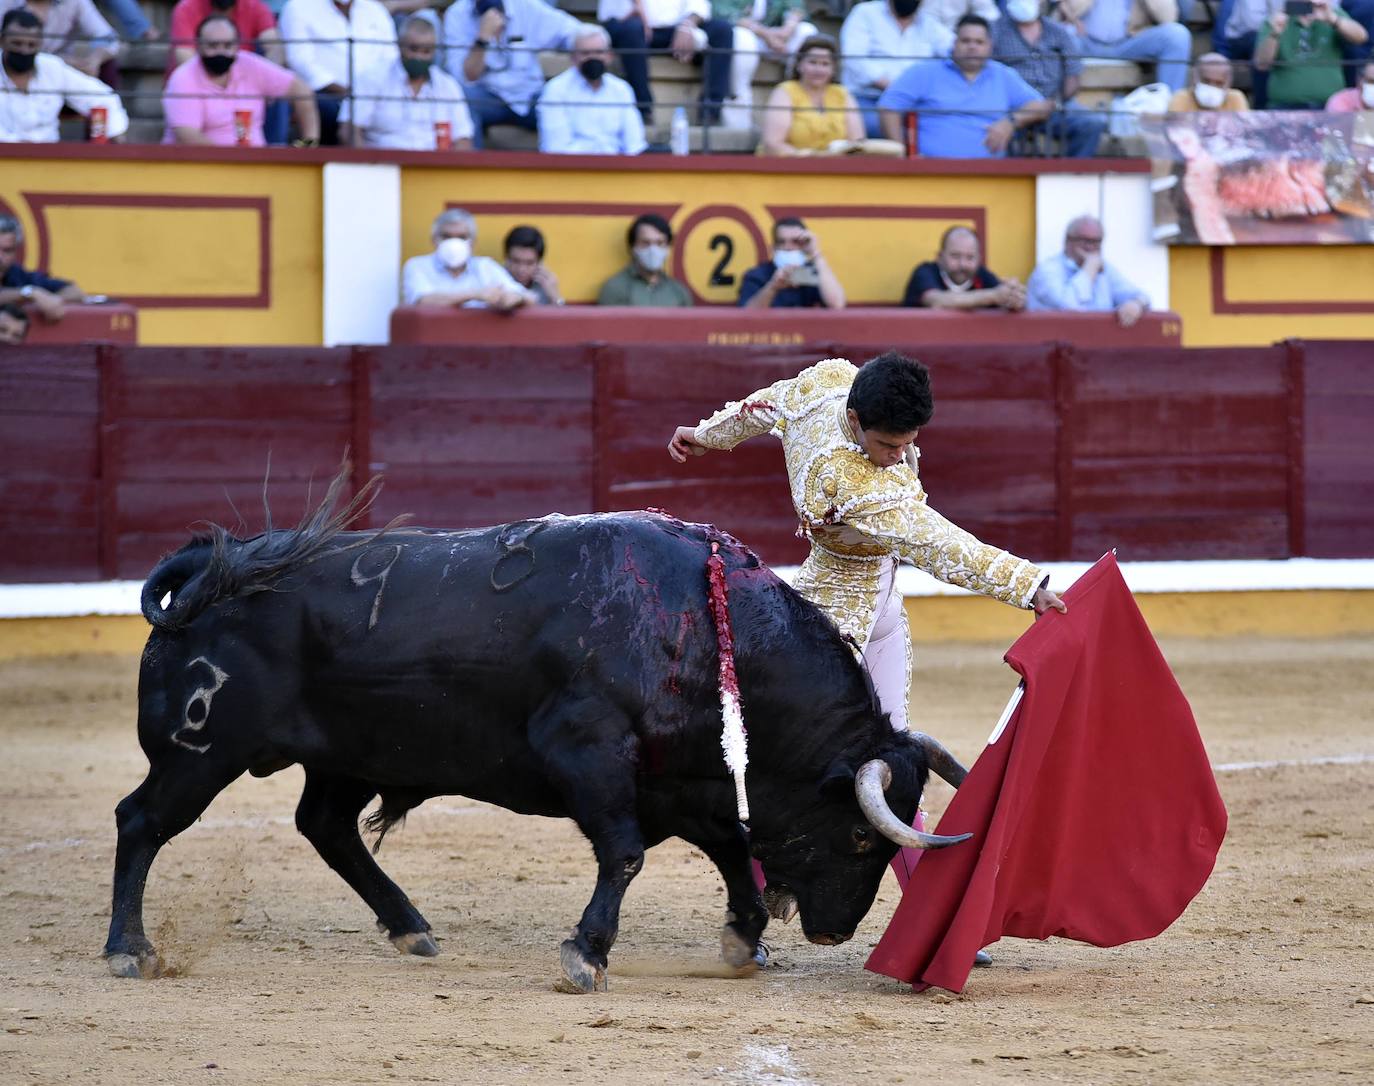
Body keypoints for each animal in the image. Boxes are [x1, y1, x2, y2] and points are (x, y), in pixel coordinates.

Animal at [104, 505, 967, 989]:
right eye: (862, 836)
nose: (836, 933)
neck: (705, 629)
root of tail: (215, 564)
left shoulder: (681, 781)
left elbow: (727, 843)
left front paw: (742, 938)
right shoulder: (590, 755)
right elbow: (626, 853)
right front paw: (588, 952)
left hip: (352, 755)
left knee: (325, 826)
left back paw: (411, 926)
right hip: (199, 752)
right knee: (140, 821)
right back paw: (129, 949)